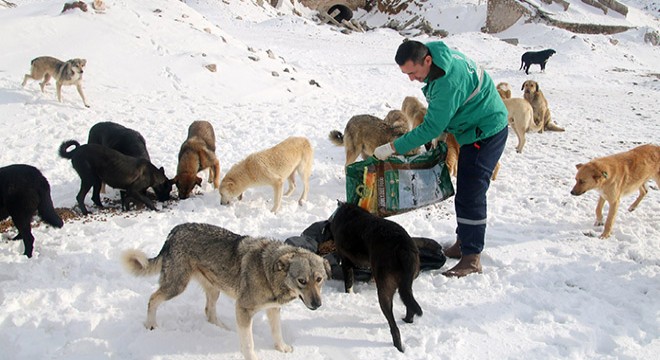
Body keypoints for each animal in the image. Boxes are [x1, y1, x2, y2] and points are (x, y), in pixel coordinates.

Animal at [122, 222, 332, 360]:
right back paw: (151, 325)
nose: (318, 304)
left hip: (214, 289)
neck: (268, 272)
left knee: (208, 311)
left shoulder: (273, 309)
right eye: (302, 281)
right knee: (152, 299)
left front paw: (282, 348)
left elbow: (277, 332)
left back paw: (222, 328)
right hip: (176, 286)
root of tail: (174, 231)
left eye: (319, 279)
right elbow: (248, 343)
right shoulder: (243, 309)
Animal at [326, 202, 422, 352]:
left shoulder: (346, 262)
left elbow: (348, 284)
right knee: (409, 305)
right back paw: (407, 321)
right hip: (406, 284)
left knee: (394, 328)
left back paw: (398, 347)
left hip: (384, 289)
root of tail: (403, 247)